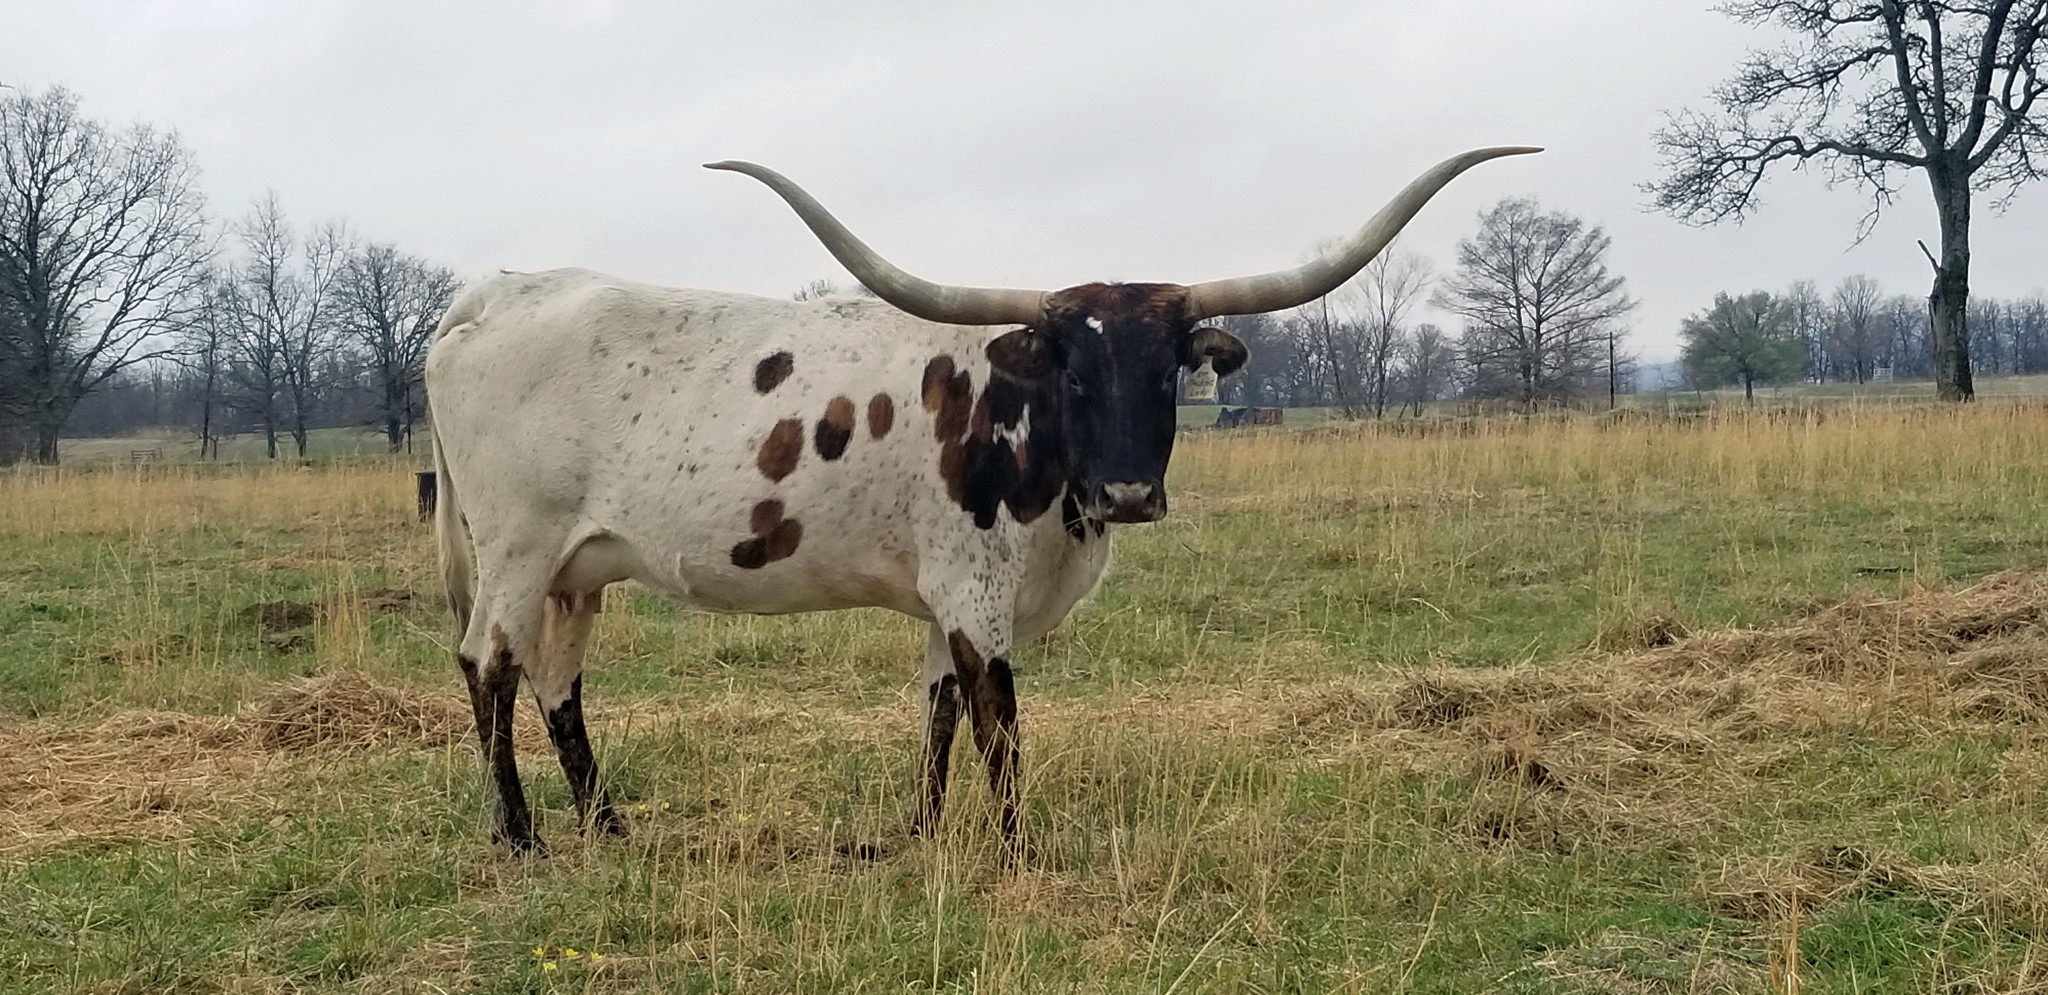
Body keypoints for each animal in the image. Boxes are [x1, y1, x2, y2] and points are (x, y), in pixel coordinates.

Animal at [426, 146, 1538, 855]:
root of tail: (493, 293)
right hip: (518, 547)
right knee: (490, 664)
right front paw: (1014, 847)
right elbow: (998, 716)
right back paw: (520, 836)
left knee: (557, 681)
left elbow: (939, 713)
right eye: (1071, 369)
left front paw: (920, 834)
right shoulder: (976, 590)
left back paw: (606, 825)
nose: (1128, 491)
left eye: (1167, 368)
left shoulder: (943, 600)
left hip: (578, 569)